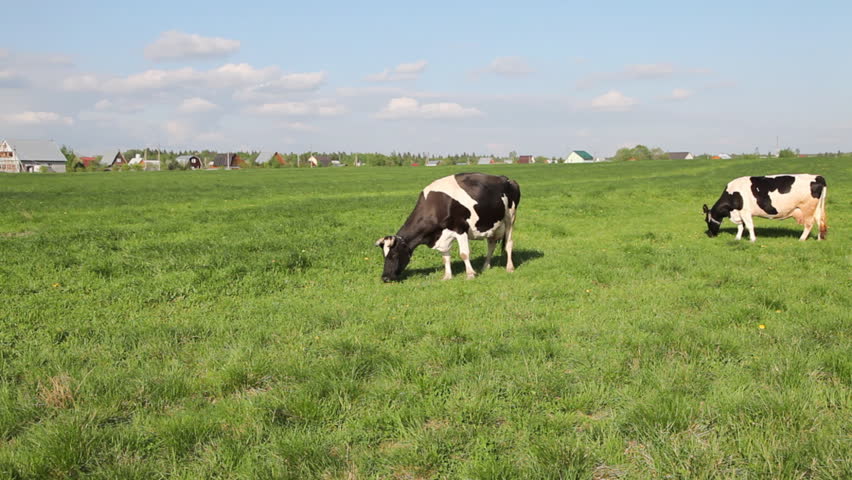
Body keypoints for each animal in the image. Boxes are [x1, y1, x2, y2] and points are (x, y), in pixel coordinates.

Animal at [376, 173, 520, 282]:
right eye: (384, 255)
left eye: (394, 254)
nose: (385, 278)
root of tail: (506, 178)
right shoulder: (443, 235)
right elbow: (445, 257)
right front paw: (447, 276)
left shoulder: (460, 228)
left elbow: (464, 254)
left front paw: (470, 274)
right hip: (491, 224)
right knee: (491, 245)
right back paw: (485, 267)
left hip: (510, 218)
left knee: (509, 243)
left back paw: (510, 267)